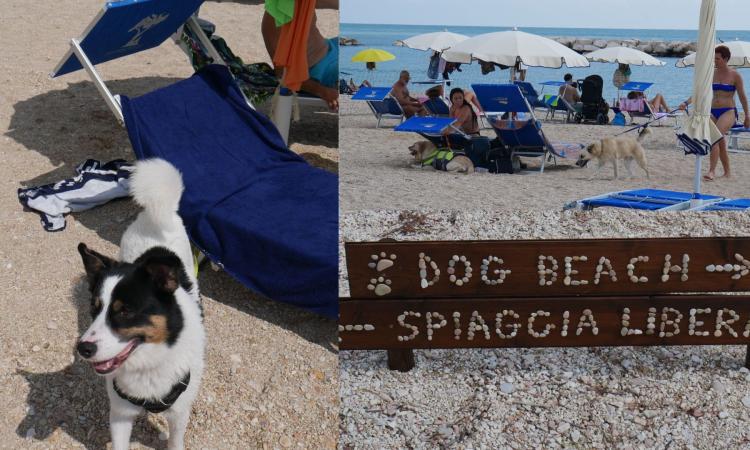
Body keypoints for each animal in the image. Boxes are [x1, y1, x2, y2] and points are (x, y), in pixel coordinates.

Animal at [76, 160, 206, 450]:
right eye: (94, 308)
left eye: (125, 311)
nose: (83, 349)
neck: (148, 364)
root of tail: (158, 213)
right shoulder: (120, 413)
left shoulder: (179, 413)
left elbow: (175, 441)